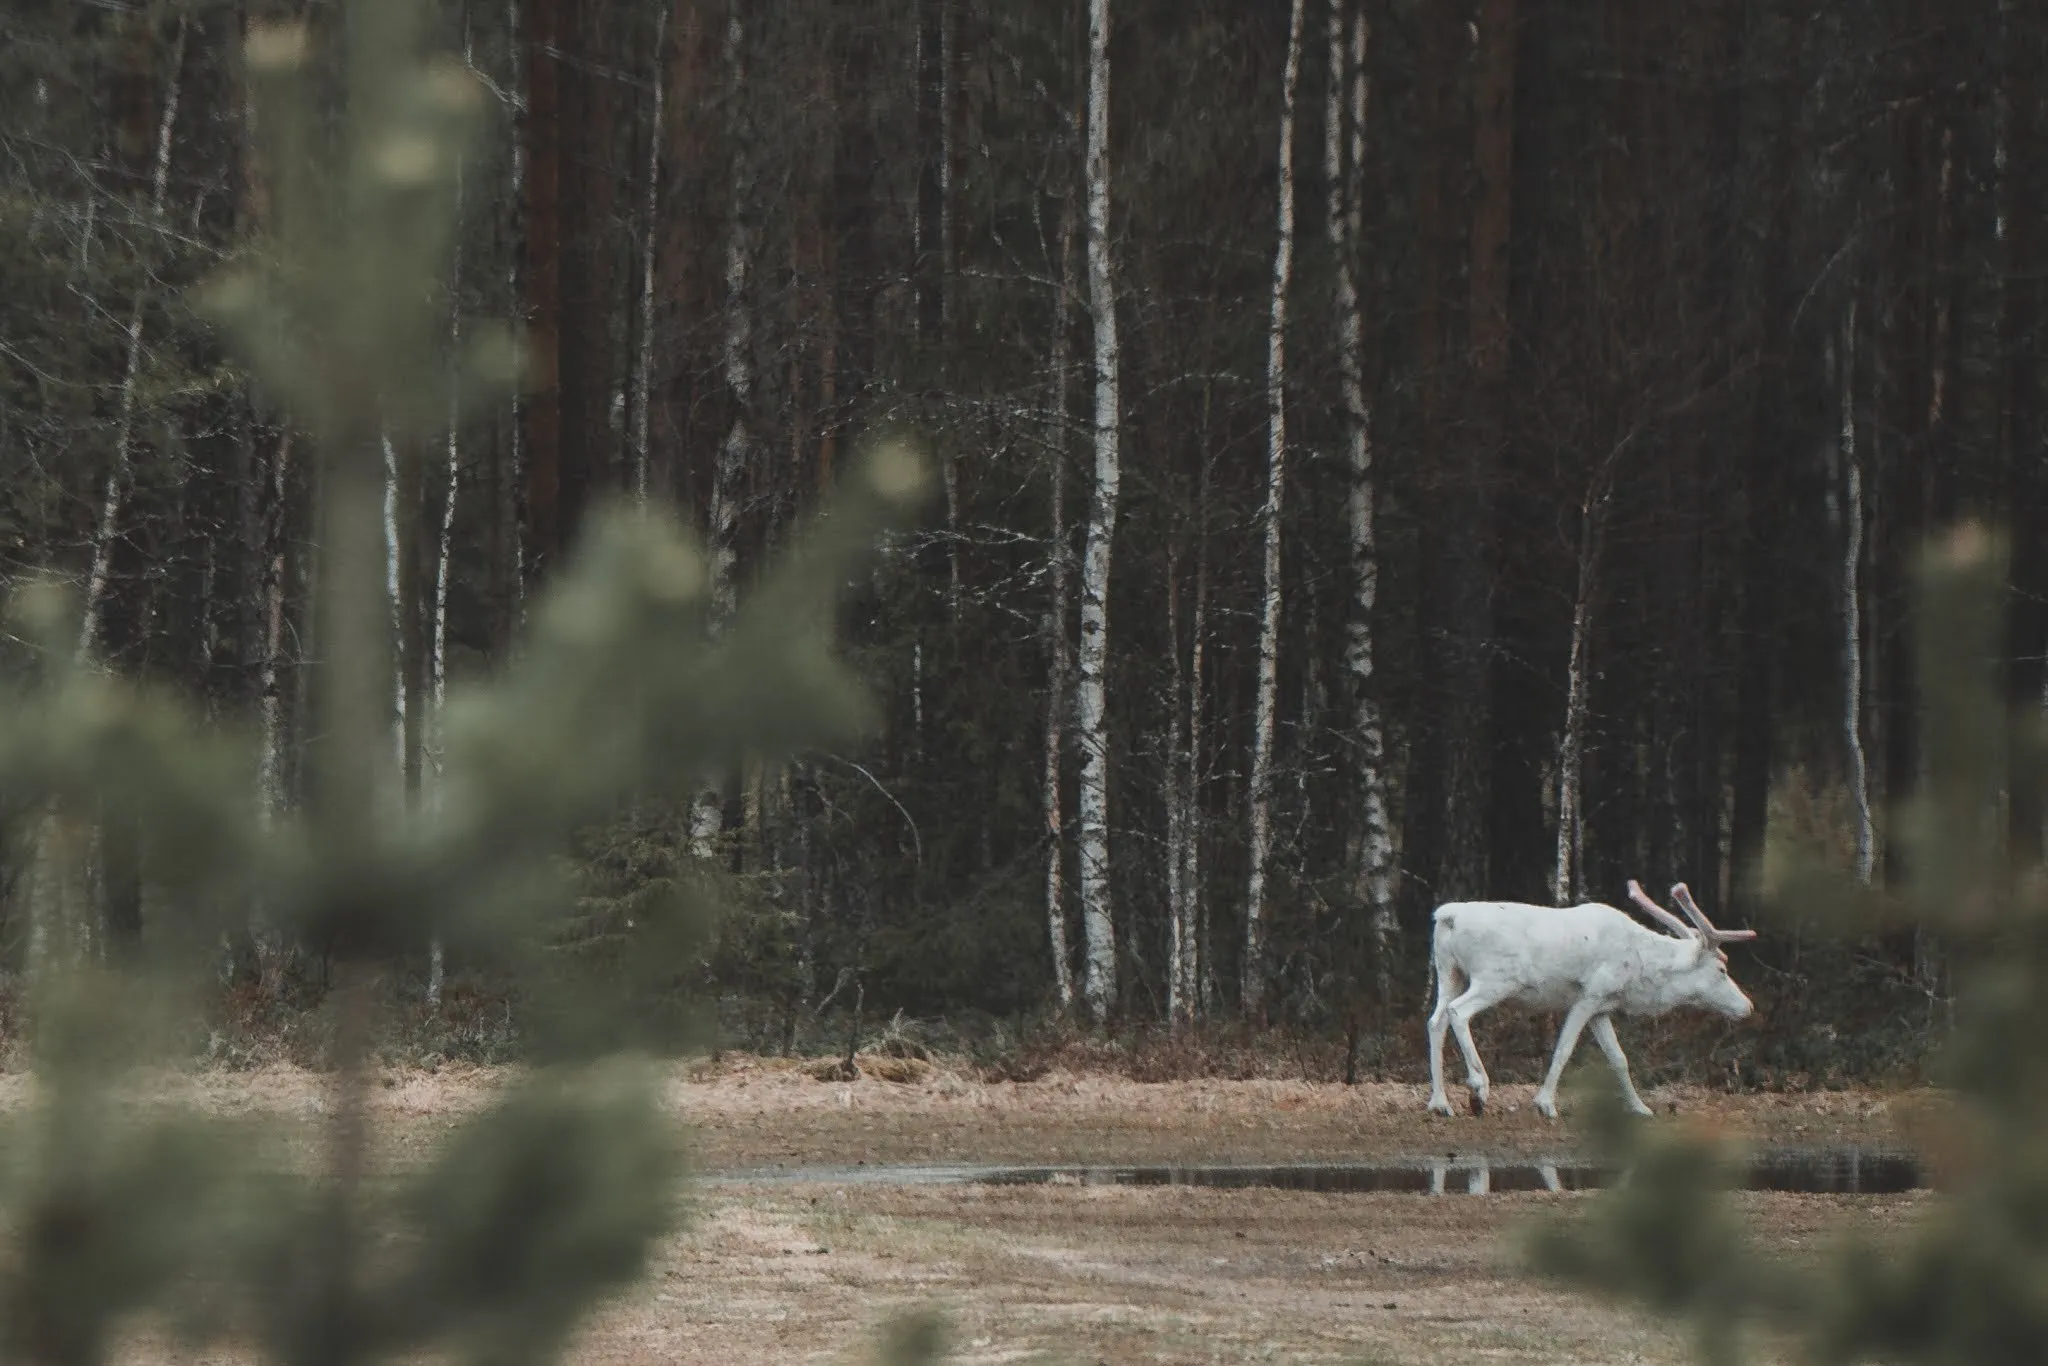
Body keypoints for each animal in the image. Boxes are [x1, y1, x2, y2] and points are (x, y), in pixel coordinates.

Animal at [1424, 881, 1757, 1120]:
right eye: (1722, 969)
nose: (1748, 1006)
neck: (1640, 972)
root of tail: (1448, 917)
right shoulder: (1589, 994)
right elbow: (1564, 1048)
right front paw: (1545, 1103)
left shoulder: (1602, 1008)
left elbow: (1619, 1058)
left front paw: (1640, 1108)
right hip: (1495, 978)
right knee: (1457, 1012)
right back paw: (1479, 1088)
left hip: (1448, 971)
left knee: (1435, 1019)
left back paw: (1440, 1103)